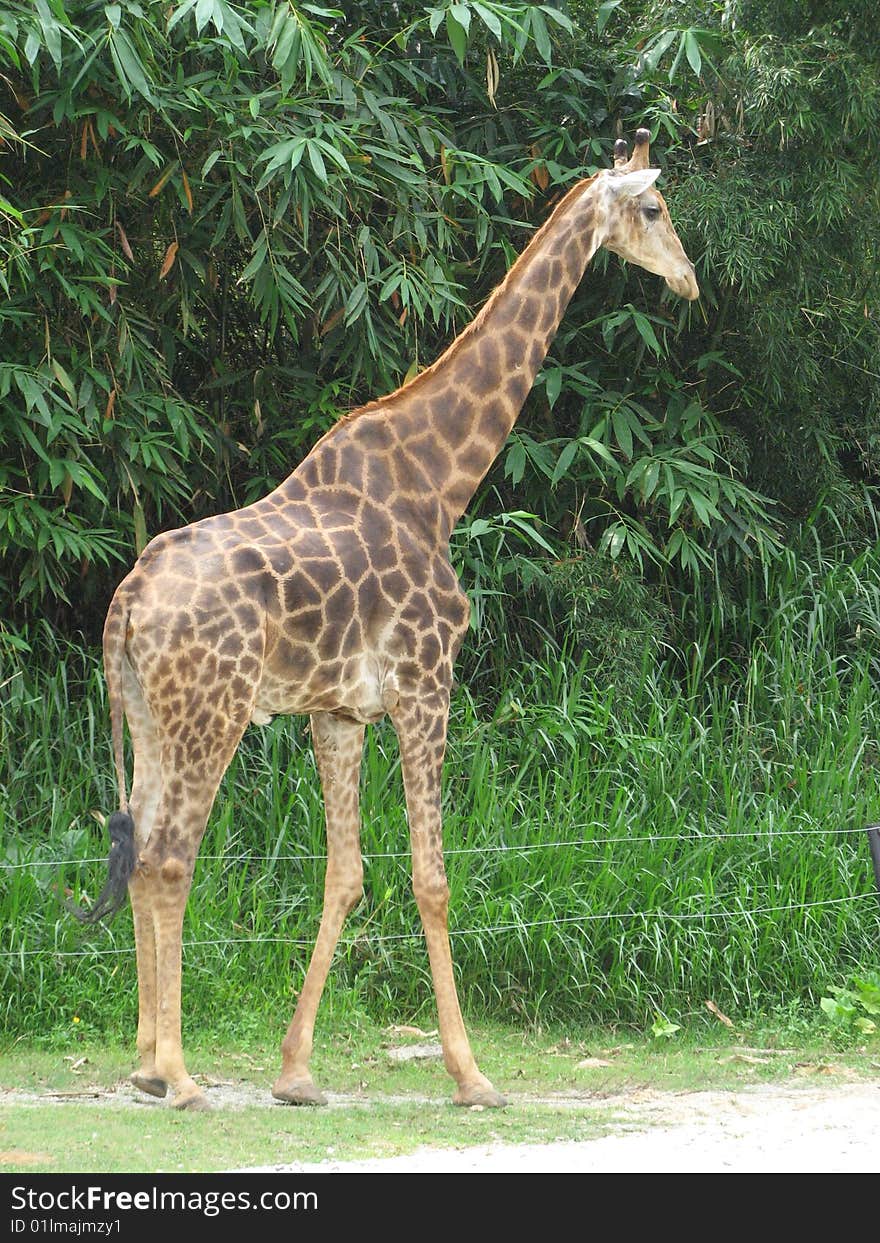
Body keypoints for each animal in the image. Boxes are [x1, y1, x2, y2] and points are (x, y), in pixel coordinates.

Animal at [72, 131, 696, 1113]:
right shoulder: (427, 686)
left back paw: (142, 1059)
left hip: (147, 715)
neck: (440, 485)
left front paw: (296, 1073)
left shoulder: (339, 711)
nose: (690, 282)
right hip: (212, 711)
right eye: (655, 209)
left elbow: (347, 874)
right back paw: (177, 1073)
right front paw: (472, 1074)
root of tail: (126, 603)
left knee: (135, 840)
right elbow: (431, 877)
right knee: (169, 855)